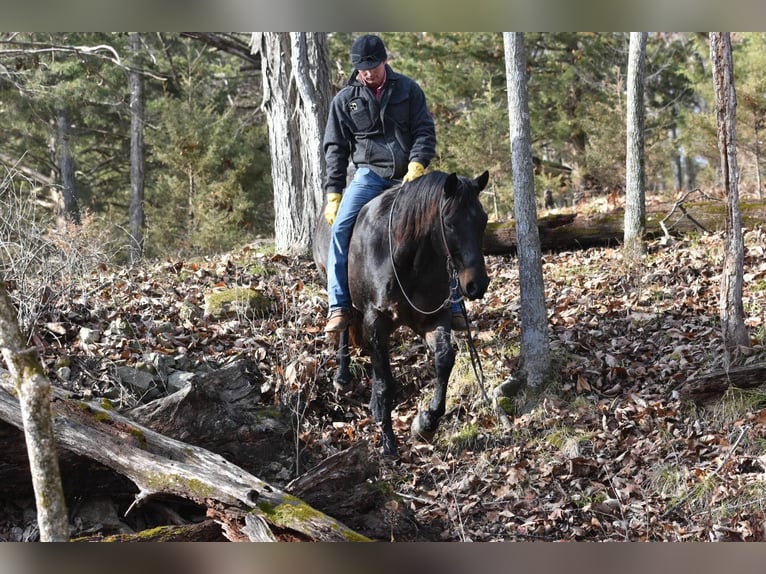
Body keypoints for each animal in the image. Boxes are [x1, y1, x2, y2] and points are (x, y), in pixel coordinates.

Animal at [314, 169, 488, 456]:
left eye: (483, 220)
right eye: (450, 223)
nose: (477, 284)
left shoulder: (433, 319)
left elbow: (444, 361)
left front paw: (425, 422)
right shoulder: (376, 319)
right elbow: (386, 383)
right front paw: (388, 441)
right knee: (345, 326)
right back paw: (343, 377)